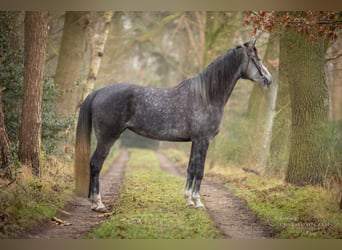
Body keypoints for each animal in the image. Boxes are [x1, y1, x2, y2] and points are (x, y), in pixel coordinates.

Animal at [73, 38, 272, 212]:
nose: (269, 79)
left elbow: (191, 169)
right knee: (96, 164)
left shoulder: (195, 141)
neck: (207, 96)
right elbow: (200, 170)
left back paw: (94, 202)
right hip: (107, 137)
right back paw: (98, 204)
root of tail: (98, 92)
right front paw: (198, 202)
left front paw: (188, 200)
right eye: (257, 59)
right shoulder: (203, 140)